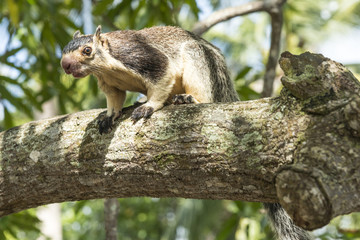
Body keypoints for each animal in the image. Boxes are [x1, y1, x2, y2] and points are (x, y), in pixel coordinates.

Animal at [60, 25, 310, 239]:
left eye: (87, 50)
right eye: (63, 50)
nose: (65, 65)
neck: (106, 66)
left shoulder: (140, 56)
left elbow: (162, 78)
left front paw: (149, 106)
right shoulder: (109, 83)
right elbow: (115, 100)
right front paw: (110, 116)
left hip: (199, 61)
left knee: (203, 94)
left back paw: (187, 99)